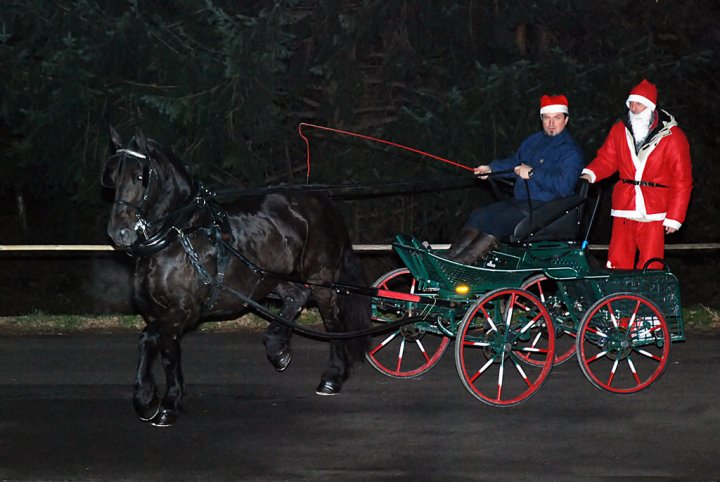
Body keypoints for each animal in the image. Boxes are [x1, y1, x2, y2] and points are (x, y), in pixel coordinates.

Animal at [102, 126, 372, 428]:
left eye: (140, 176)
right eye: (113, 177)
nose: (118, 232)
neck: (177, 235)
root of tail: (322, 199)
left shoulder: (183, 311)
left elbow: (153, 342)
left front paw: (158, 402)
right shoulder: (156, 312)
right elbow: (161, 349)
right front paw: (158, 400)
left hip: (321, 277)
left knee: (332, 321)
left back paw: (333, 377)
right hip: (269, 276)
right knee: (297, 296)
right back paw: (277, 349)